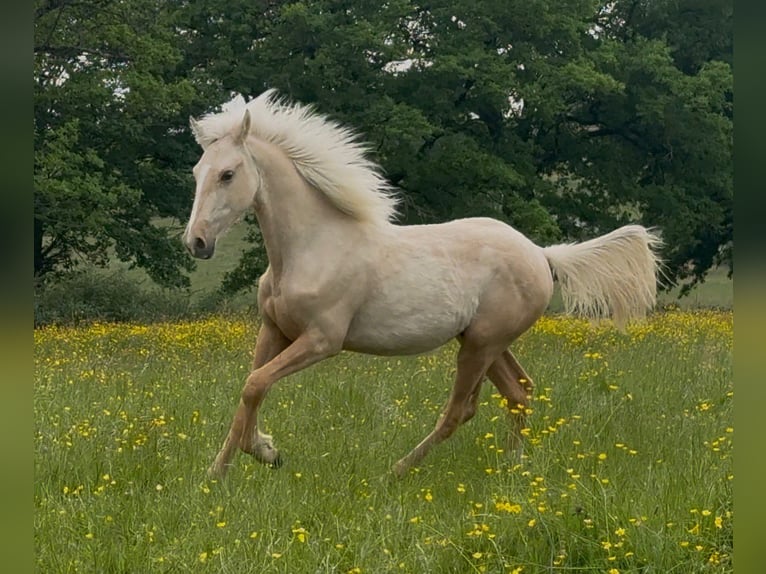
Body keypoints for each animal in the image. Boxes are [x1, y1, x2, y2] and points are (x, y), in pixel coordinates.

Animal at [183, 89, 662, 478]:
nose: (197, 242)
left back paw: (397, 471)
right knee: (520, 392)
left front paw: (267, 453)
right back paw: (512, 468)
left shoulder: (322, 340)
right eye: (196, 171)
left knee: (461, 409)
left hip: (481, 345)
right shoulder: (275, 331)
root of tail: (541, 255)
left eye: (228, 174)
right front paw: (218, 473)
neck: (312, 248)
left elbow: (255, 385)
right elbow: (249, 390)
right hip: (485, 342)